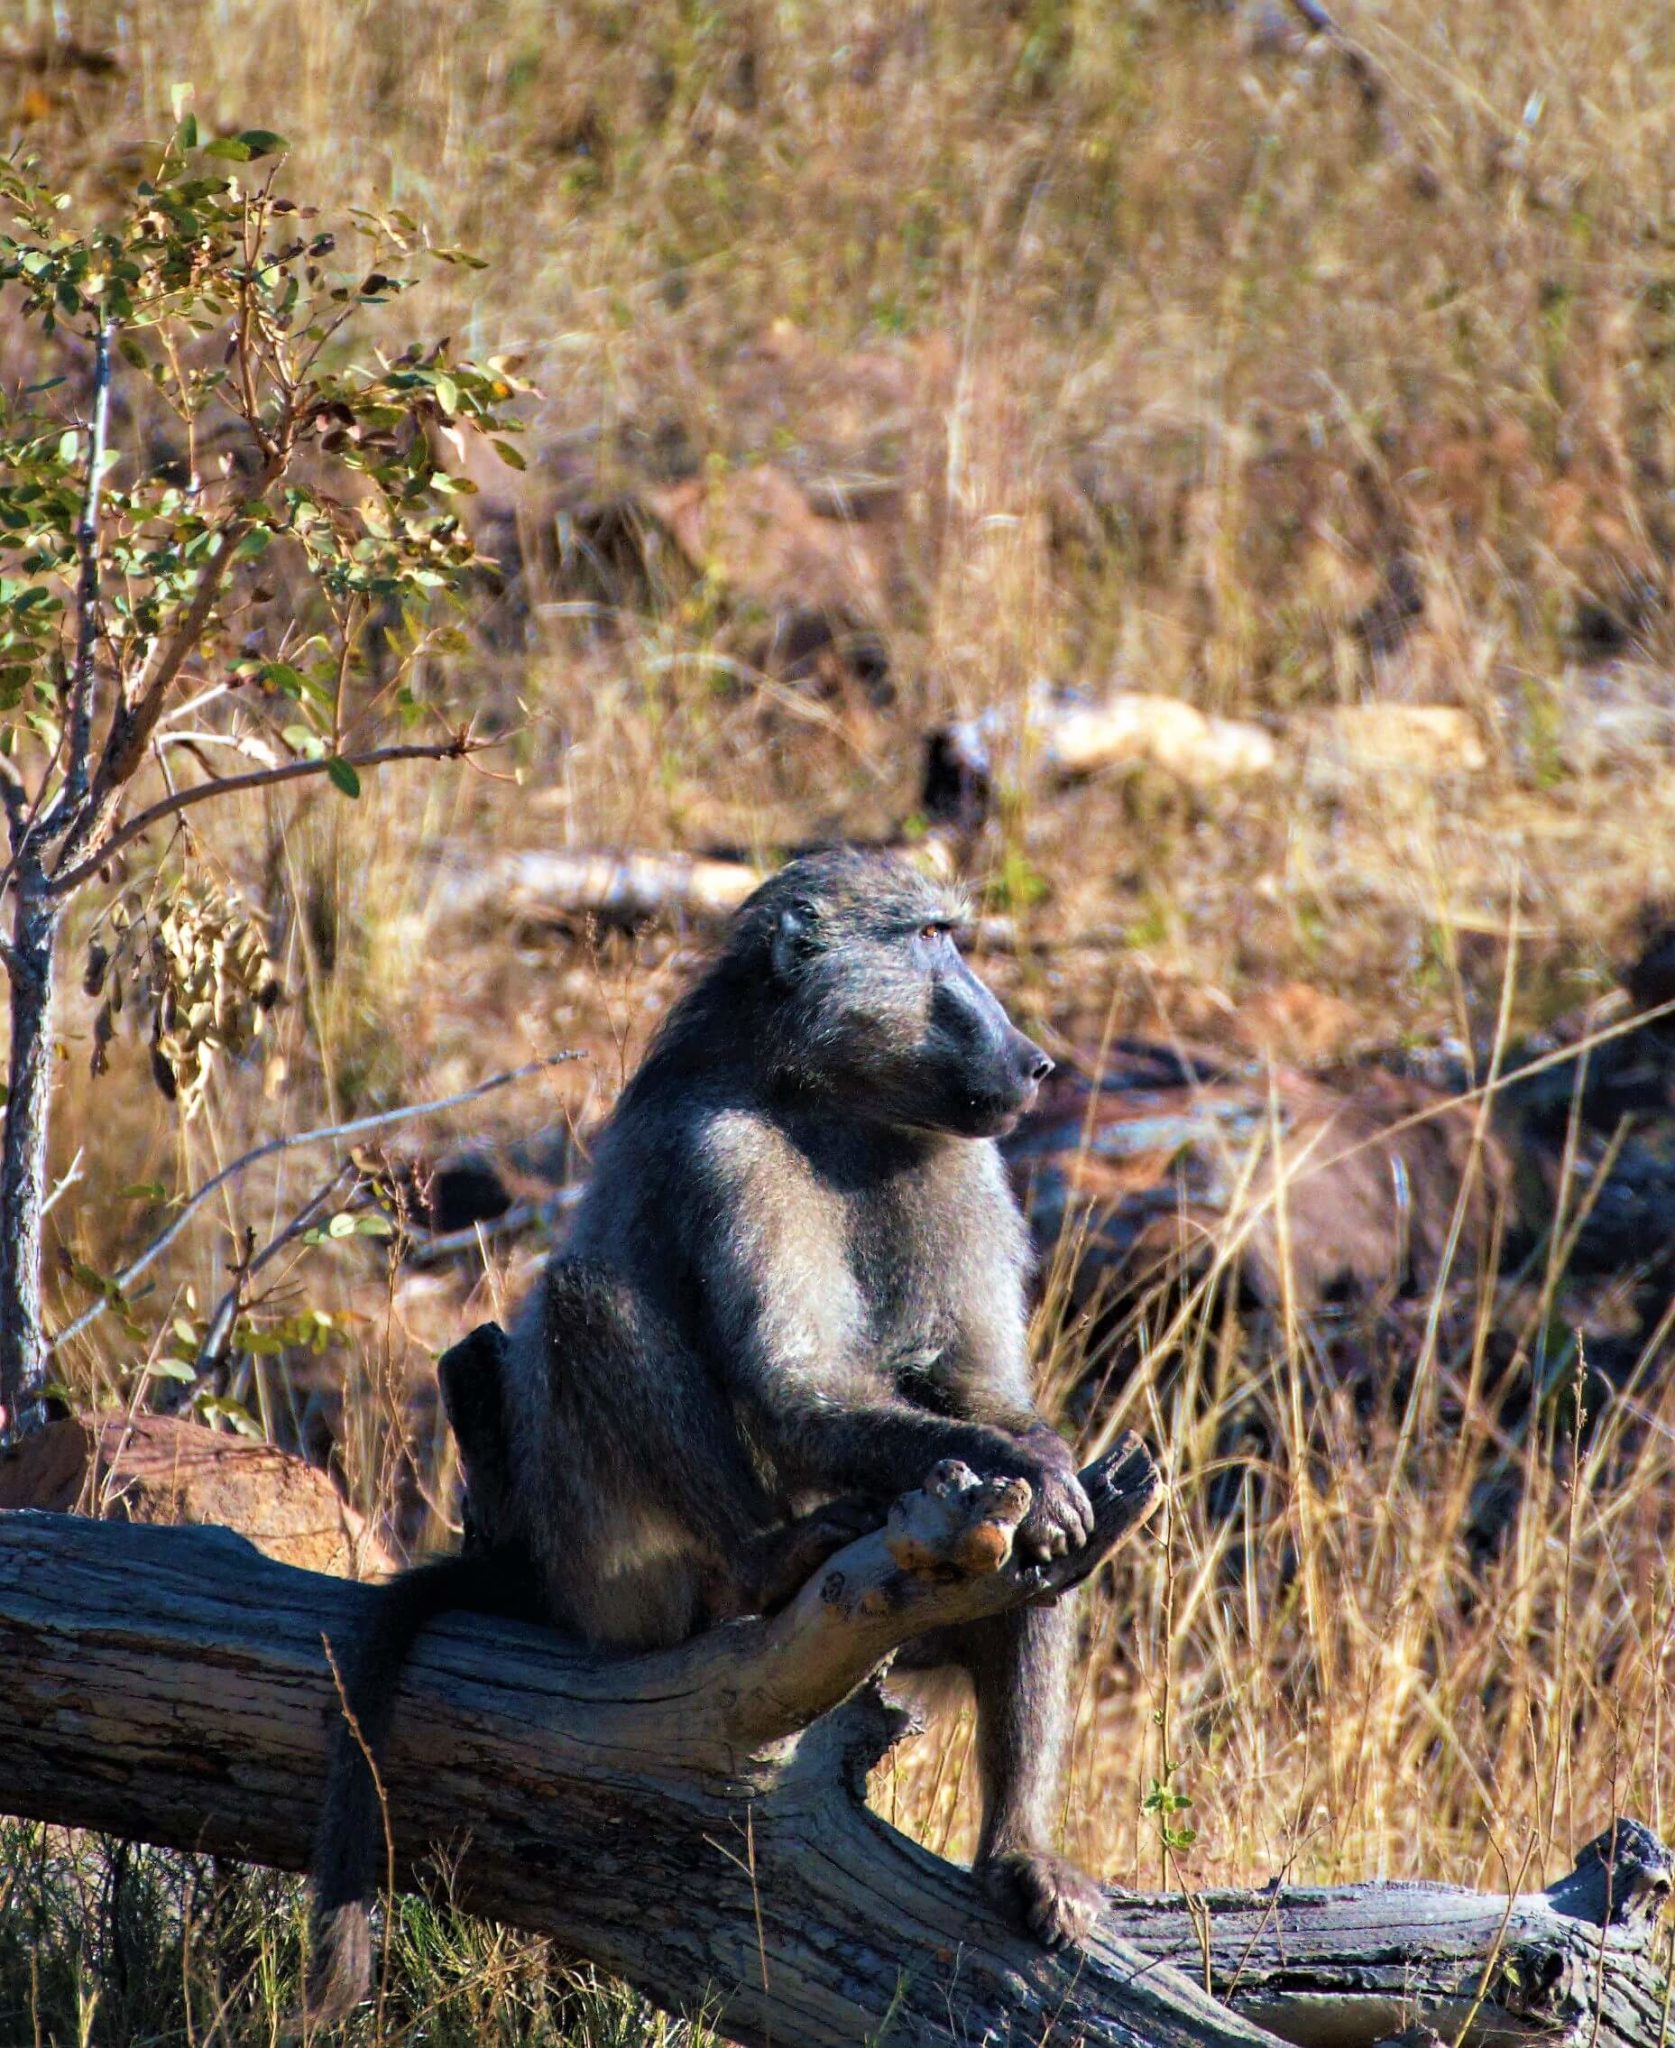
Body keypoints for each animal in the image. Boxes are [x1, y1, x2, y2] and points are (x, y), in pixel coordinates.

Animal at [307, 846, 1102, 2024]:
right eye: (928, 937)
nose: (1033, 1060)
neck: (823, 1092)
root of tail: (541, 1575)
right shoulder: (729, 1149)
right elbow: (793, 1386)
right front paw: (1034, 1468)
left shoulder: (960, 1161)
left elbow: (975, 1390)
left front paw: (1039, 1459)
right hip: (617, 1572)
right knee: (588, 1296)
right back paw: (768, 1561)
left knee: (1025, 1570)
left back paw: (1015, 1854)